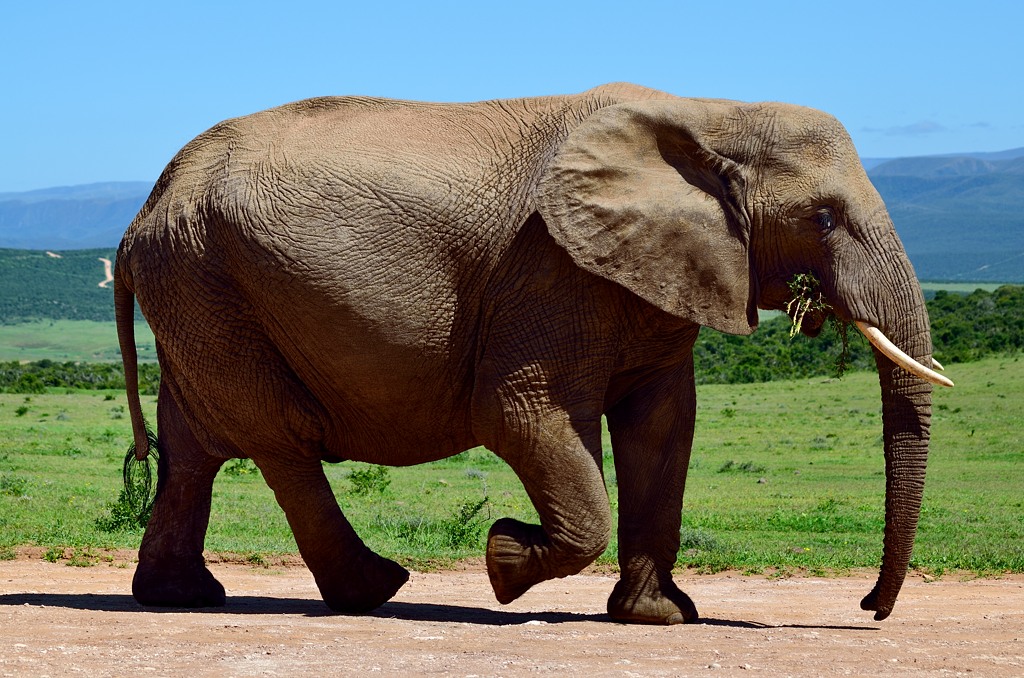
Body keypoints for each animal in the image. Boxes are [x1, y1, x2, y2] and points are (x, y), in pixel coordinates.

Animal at [116, 83, 946, 626]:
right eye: (824, 218)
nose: (868, 608)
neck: (709, 113)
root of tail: (140, 214)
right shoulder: (548, 269)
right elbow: (520, 414)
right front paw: (505, 561)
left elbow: (662, 428)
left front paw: (659, 617)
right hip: (207, 280)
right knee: (280, 437)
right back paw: (377, 591)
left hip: (196, 289)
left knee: (193, 447)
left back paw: (181, 597)